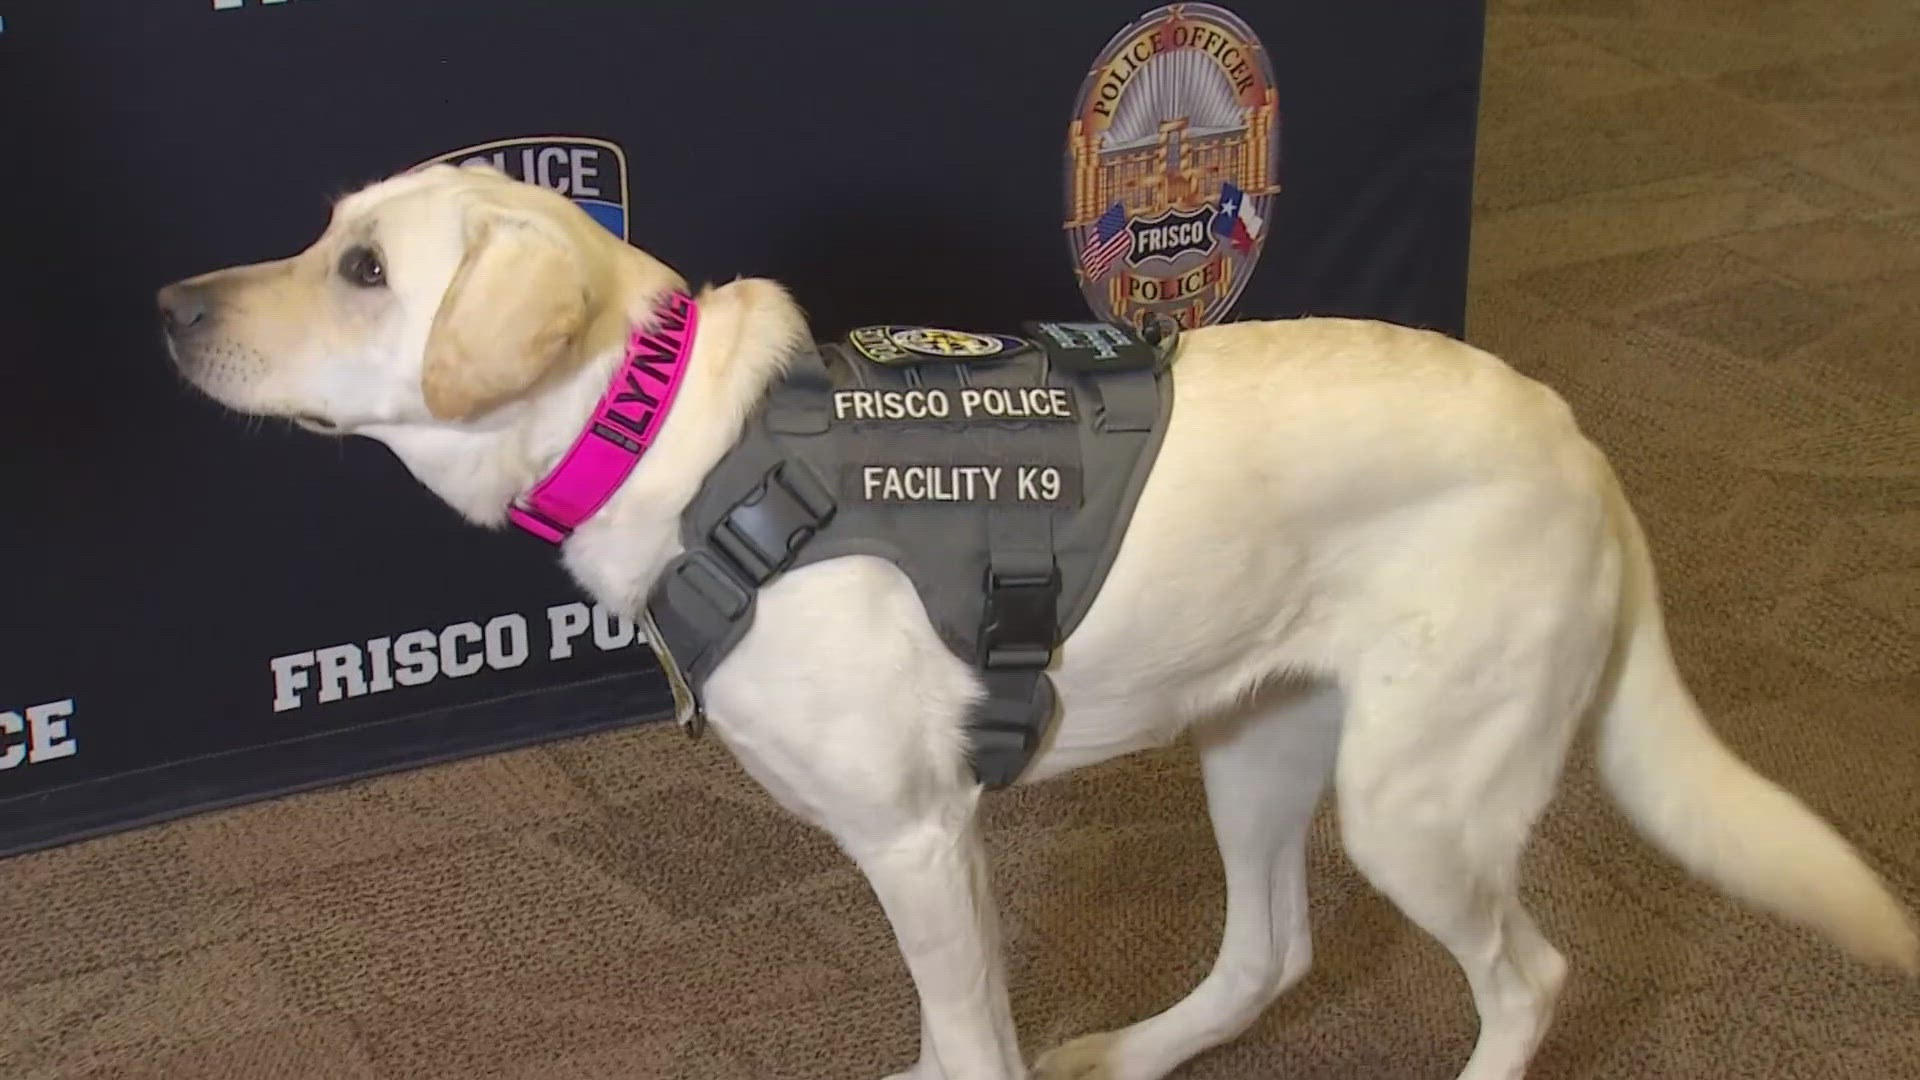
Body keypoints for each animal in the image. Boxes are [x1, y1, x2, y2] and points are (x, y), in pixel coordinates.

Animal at [153, 161, 1920, 1076]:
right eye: (323, 234)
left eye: (366, 270)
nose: (168, 306)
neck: (677, 438)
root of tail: (1580, 441)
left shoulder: (920, 838)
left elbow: (967, 1044)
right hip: (1257, 745)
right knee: (1269, 954)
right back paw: (1135, 1051)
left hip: (1419, 800)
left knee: (1530, 979)